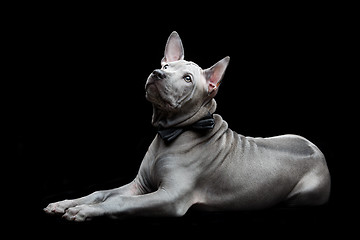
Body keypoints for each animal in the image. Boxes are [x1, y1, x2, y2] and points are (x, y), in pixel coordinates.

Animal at [43, 31, 330, 221]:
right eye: (167, 65)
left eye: (188, 78)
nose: (158, 73)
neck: (170, 133)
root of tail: (318, 151)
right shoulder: (140, 186)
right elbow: (101, 192)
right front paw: (66, 203)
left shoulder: (169, 198)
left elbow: (119, 200)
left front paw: (84, 211)